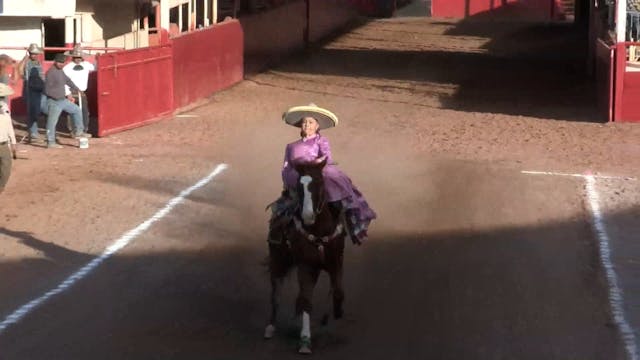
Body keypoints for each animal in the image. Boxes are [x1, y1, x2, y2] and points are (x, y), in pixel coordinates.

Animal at [264, 160, 348, 354]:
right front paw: (305, 341)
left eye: (319, 182)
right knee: (276, 292)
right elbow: (306, 301)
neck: (319, 232)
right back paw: (271, 327)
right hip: (278, 260)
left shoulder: (336, 262)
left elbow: (338, 291)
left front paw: (335, 313)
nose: (308, 216)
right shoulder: (306, 266)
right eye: (298, 186)